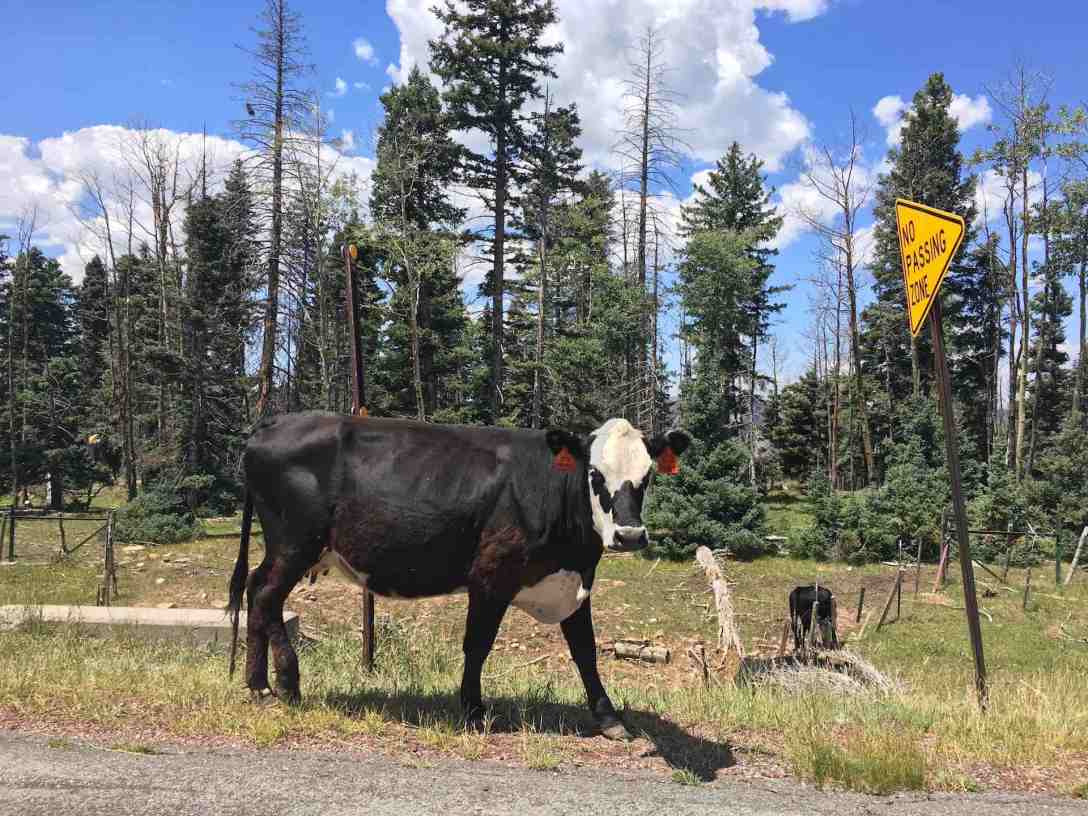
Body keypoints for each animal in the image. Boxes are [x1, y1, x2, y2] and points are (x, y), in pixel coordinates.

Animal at [227, 412, 689, 741]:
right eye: (594, 474)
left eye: (647, 476)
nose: (630, 535)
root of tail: (276, 421)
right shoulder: (491, 576)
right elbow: (477, 646)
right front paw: (472, 710)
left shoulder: (574, 582)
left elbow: (586, 652)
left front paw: (609, 718)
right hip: (294, 542)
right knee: (266, 595)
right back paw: (286, 684)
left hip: (286, 547)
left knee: (255, 590)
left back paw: (257, 684)